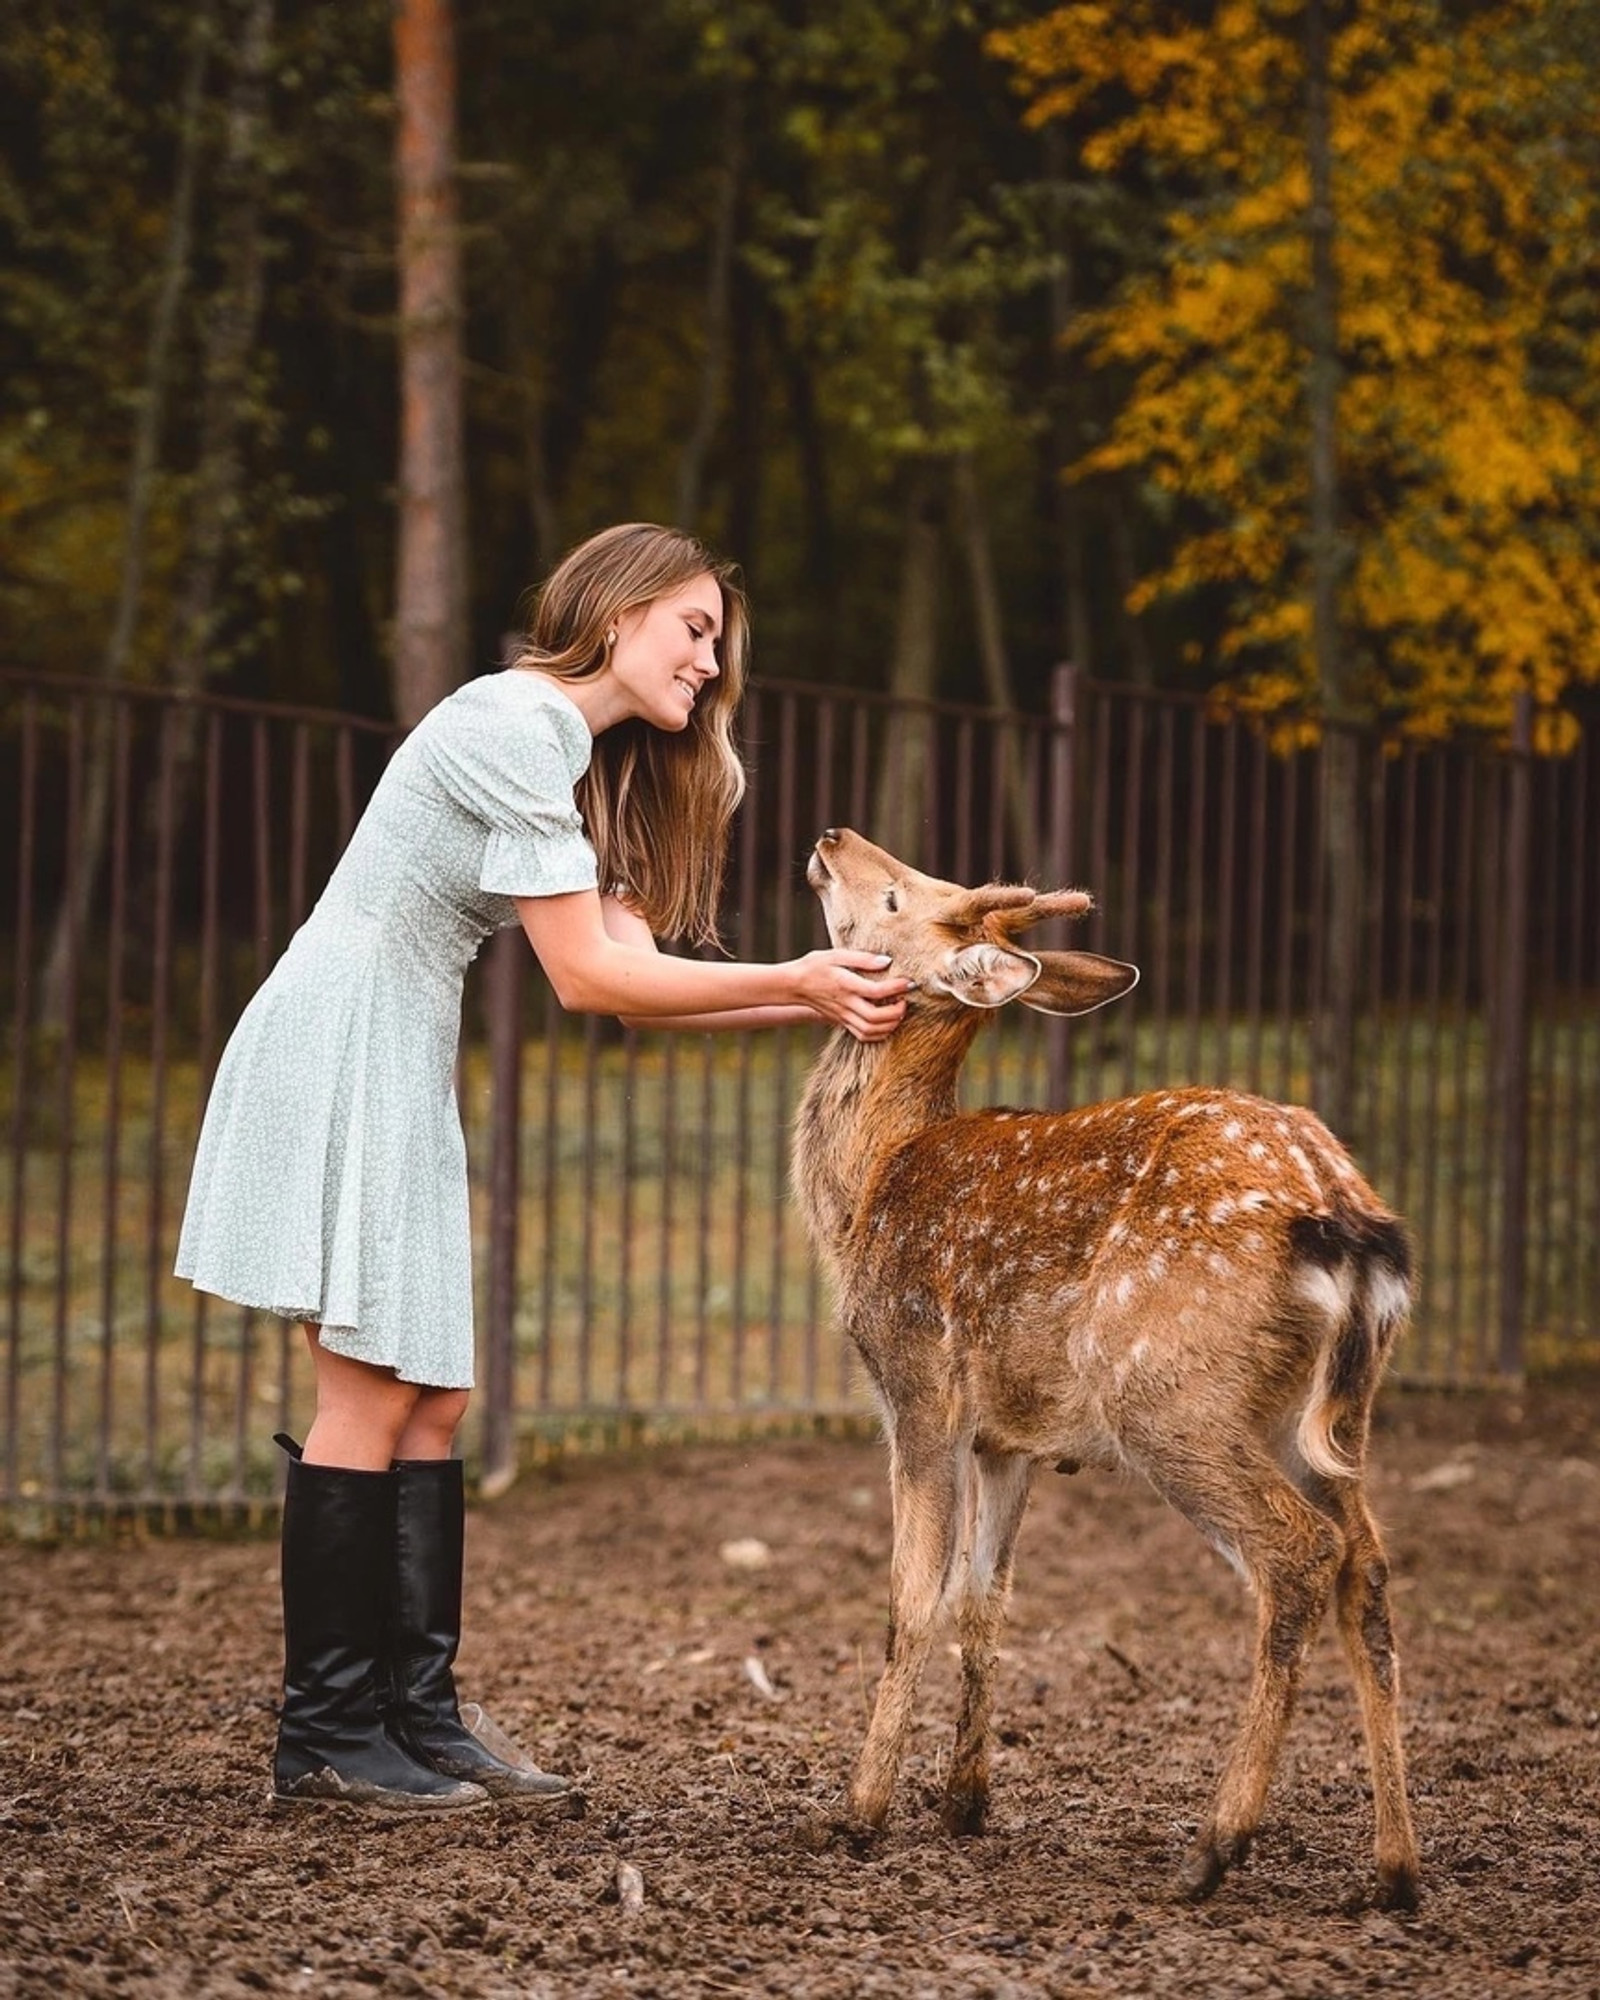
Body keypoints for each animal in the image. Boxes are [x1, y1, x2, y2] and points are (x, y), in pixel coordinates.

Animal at [792, 824, 1416, 1904]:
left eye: (900, 895)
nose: (832, 835)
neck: (870, 1182)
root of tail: (1344, 1213)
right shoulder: (1009, 1436)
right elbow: (983, 1598)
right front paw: (964, 1803)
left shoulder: (919, 1390)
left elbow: (910, 1598)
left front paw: (860, 1814)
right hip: (1328, 1416)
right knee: (1366, 1564)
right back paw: (1395, 1869)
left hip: (1167, 1390)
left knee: (1297, 1553)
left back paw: (1214, 1846)